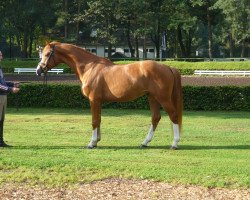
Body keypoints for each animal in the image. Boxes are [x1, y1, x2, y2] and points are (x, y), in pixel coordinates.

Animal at [36, 41, 183, 148]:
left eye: (47, 53)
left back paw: (174, 143)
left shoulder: (94, 100)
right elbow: (99, 119)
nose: (38, 70)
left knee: (173, 115)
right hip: (152, 97)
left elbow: (94, 121)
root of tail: (168, 67)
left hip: (163, 98)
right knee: (155, 117)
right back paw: (145, 142)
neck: (90, 67)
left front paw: (91, 143)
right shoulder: (98, 101)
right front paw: (96, 140)